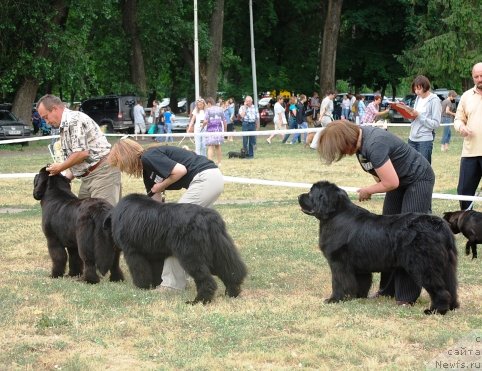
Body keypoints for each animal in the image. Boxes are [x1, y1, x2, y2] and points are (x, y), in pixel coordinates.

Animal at [105, 195, 249, 306]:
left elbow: (140, 271)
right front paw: (155, 286)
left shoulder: (133, 253)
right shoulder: (155, 256)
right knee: (232, 271)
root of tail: (207, 218)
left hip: (191, 255)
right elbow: (156, 272)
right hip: (218, 251)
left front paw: (142, 287)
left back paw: (199, 301)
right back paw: (232, 293)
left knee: (207, 280)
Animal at [298, 182, 460, 316]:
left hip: (424, 265)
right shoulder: (360, 267)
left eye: (311, 192)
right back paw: (452, 307)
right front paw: (358, 297)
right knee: (451, 287)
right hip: (447, 265)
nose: (299, 196)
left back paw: (435, 310)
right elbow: (361, 283)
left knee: (440, 290)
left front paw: (335, 299)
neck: (335, 215)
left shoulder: (339, 263)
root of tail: (439, 225)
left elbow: (339, 282)